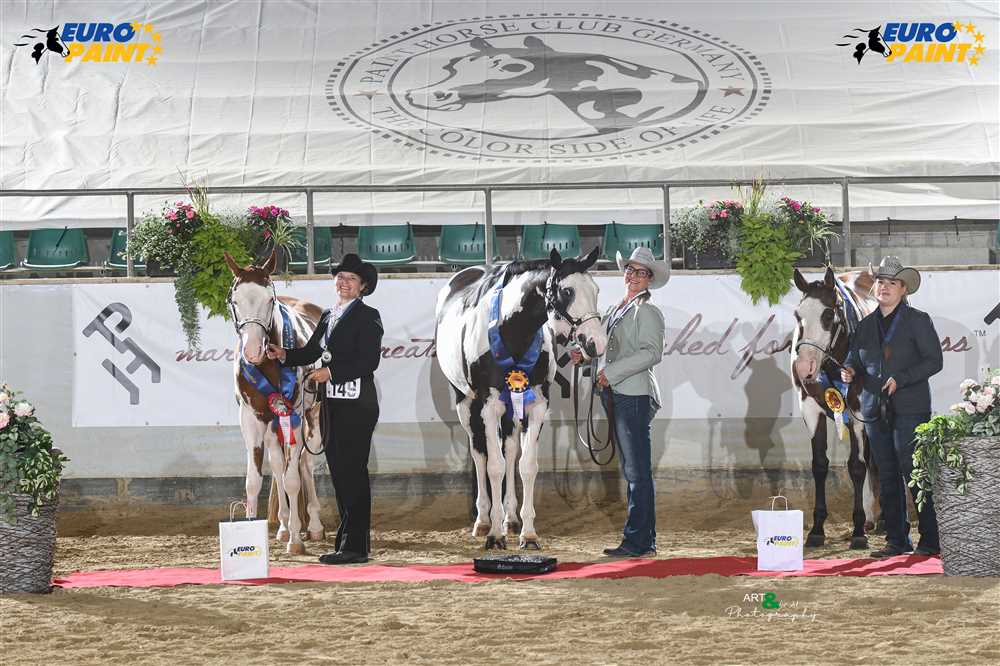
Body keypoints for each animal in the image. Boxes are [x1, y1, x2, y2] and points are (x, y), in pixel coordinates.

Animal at [224, 250, 326, 554]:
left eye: (269, 299)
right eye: (234, 300)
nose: (253, 351)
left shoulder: (295, 417)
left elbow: (293, 480)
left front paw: (296, 540)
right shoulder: (251, 419)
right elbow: (254, 481)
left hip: (313, 417)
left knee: (305, 464)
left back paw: (313, 525)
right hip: (271, 425)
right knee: (279, 465)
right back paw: (282, 525)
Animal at [434, 247, 607, 549]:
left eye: (595, 289)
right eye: (567, 291)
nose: (596, 343)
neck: (511, 330)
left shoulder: (537, 405)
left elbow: (526, 465)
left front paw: (528, 533)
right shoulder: (489, 406)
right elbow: (494, 467)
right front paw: (494, 535)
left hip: (512, 409)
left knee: (511, 451)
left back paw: (511, 519)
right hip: (466, 404)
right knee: (479, 455)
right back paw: (483, 521)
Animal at [791, 267, 881, 549]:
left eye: (828, 314)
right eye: (798, 315)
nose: (804, 368)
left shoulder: (859, 414)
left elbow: (857, 467)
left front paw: (858, 531)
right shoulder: (811, 410)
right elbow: (819, 465)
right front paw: (817, 529)